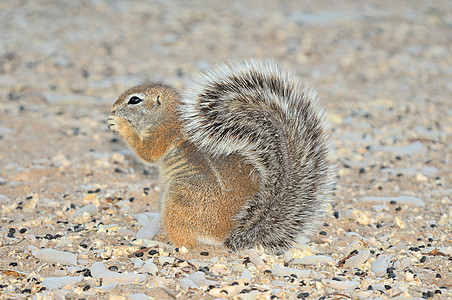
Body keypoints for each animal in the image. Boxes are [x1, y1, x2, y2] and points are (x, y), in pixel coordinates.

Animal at [107, 59, 334, 254]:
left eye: (135, 100)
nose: (113, 108)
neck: (168, 115)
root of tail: (228, 235)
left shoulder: (165, 134)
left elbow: (148, 152)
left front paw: (120, 125)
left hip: (178, 203)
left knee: (186, 242)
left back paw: (162, 243)